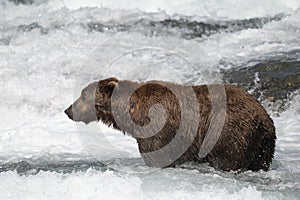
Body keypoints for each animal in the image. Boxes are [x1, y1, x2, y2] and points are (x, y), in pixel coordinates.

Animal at [64, 77, 276, 171]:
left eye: (83, 95)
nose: (68, 110)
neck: (131, 113)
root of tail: (264, 118)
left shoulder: (159, 130)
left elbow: (158, 155)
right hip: (263, 146)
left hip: (226, 132)